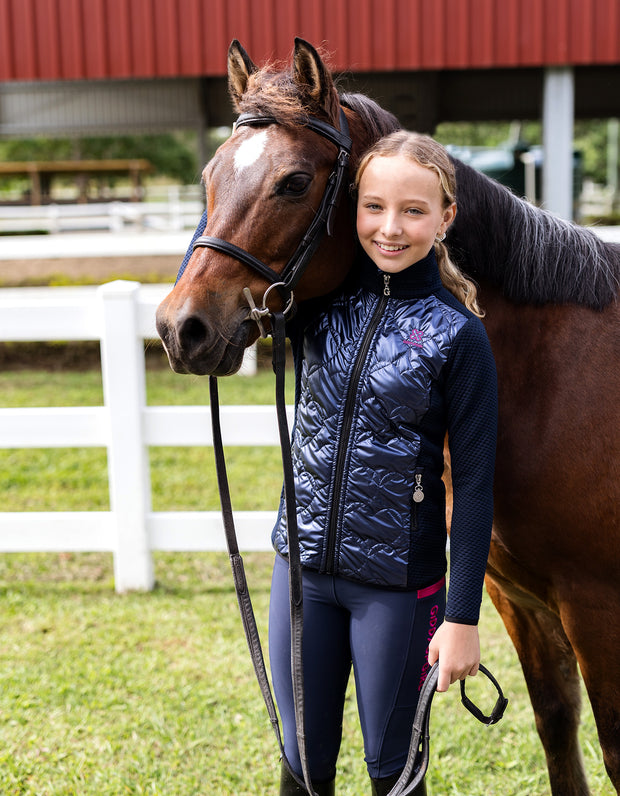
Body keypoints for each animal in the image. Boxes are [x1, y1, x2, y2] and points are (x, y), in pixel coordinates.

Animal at [156, 38, 620, 796]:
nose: (181, 327)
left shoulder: (597, 606)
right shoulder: (521, 601)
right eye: (209, 177)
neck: (550, 375)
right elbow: (558, 728)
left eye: (294, 182)